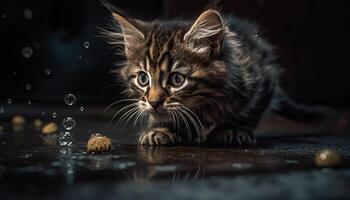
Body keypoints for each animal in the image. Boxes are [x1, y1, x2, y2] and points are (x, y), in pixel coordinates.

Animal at [103, 3, 326, 146]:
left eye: (177, 79)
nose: (154, 102)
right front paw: (161, 129)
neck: (203, 106)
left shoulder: (263, 79)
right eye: (143, 79)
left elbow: (249, 112)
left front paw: (234, 130)